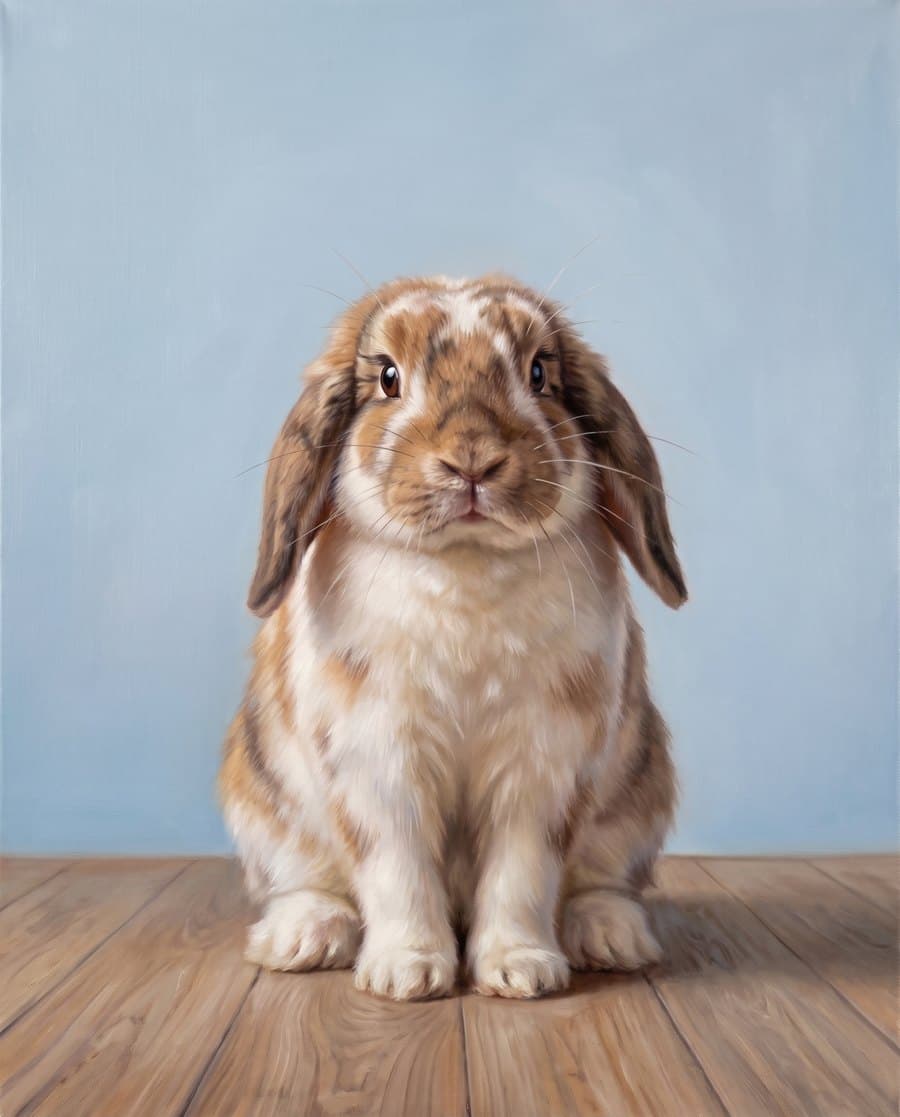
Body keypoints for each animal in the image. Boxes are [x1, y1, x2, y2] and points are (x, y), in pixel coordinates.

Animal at [219, 273, 687, 1000]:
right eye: (388, 377)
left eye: (539, 373)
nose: (472, 459)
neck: (465, 563)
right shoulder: (379, 764)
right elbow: (398, 868)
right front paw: (407, 973)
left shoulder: (542, 769)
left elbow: (522, 873)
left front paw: (521, 969)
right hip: (266, 801)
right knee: (308, 885)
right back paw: (304, 938)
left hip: (640, 793)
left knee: (602, 884)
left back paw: (611, 936)